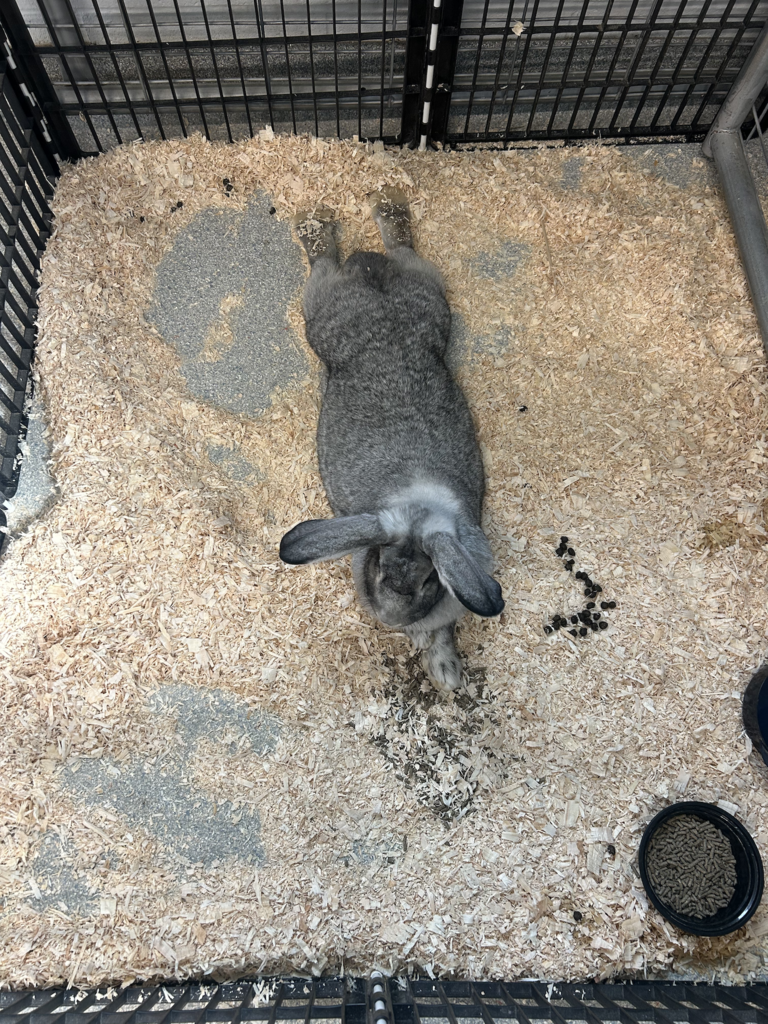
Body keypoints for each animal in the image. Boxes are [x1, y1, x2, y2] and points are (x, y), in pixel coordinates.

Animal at [279, 187, 504, 692]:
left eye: (428, 582)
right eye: (380, 566)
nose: (390, 617)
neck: (420, 505)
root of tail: (370, 268)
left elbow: (441, 631)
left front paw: (446, 673)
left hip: (427, 291)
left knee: (400, 249)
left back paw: (386, 204)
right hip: (321, 309)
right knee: (326, 263)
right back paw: (318, 221)